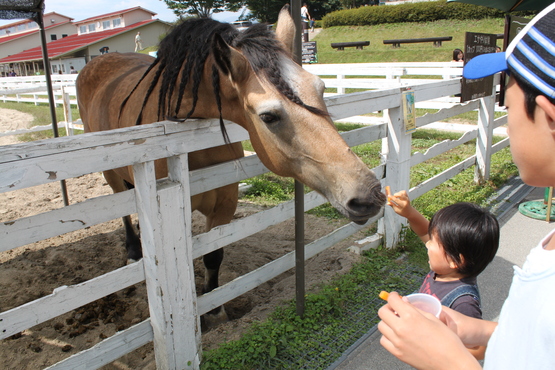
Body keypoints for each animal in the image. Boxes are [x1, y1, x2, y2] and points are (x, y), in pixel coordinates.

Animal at [76, 4, 384, 326]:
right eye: (268, 116)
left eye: (321, 89)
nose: (369, 195)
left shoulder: (224, 205)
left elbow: (213, 255)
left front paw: (213, 307)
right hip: (112, 175)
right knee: (122, 208)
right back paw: (134, 251)